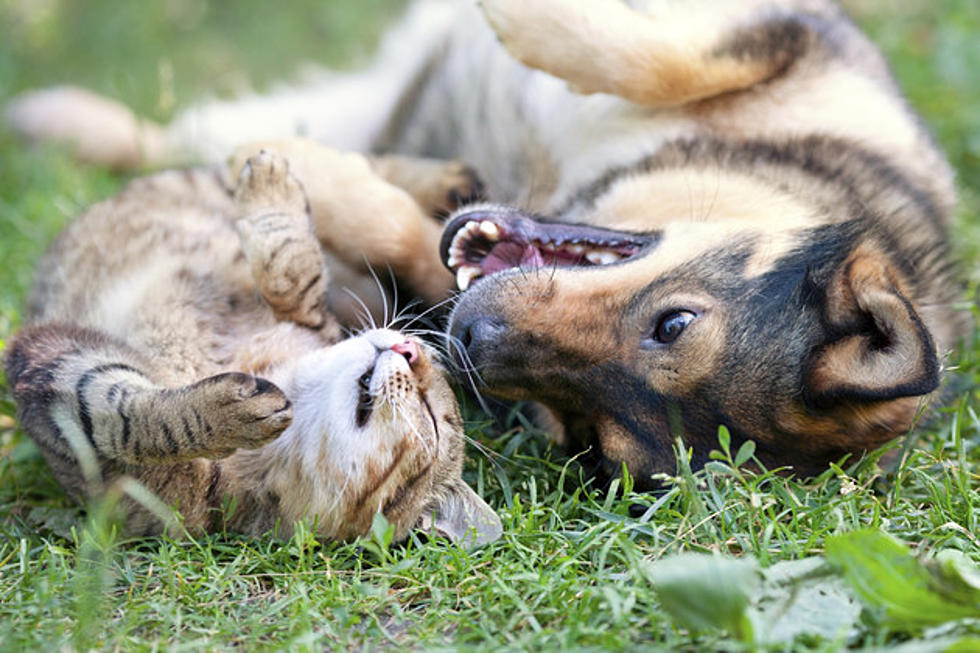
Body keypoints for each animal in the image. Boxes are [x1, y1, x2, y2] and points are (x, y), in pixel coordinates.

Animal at [5, 0, 972, 486]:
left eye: (590, 434)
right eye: (673, 323)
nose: (468, 340)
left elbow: (401, 234)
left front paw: (317, 179)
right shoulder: (792, 37)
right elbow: (660, 53)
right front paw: (525, 18)